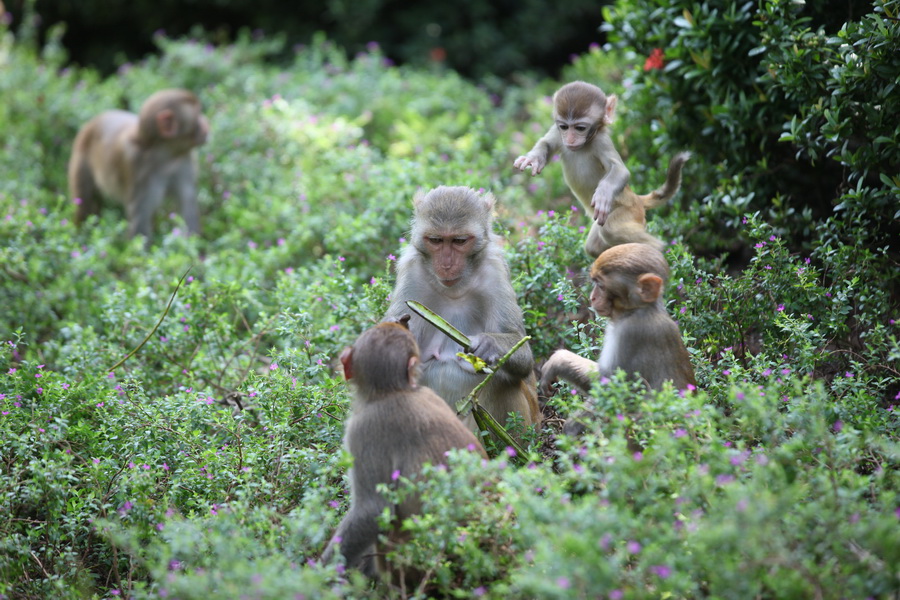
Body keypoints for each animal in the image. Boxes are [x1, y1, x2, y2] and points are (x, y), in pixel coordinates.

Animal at [68, 87, 209, 241]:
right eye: (198, 113)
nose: (206, 121)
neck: (166, 155)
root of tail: (93, 121)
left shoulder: (184, 161)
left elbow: (188, 206)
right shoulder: (137, 167)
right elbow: (141, 222)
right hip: (80, 158)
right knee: (85, 204)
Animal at [382, 186, 540, 432]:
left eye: (459, 241)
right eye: (436, 240)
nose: (446, 264)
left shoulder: (494, 270)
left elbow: (521, 351)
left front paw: (489, 344)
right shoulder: (411, 271)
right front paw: (398, 331)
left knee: (502, 382)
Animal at [512, 79, 688, 255]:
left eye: (580, 128)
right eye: (564, 127)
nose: (570, 139)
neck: (586, 143)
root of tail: (637, 199)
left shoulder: (601, 141)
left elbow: (620, 170)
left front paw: (604, 194)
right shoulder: (556, 132)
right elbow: (546, 143)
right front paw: (533, 159)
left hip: (629, 212)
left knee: (610, 230)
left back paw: (659, 249)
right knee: (593, 247)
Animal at [536, 244, 700, 436]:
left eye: (600, 285)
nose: (592, 297)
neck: (637, 310)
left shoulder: (629, 334)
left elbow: (614, 388)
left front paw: (559, 361)